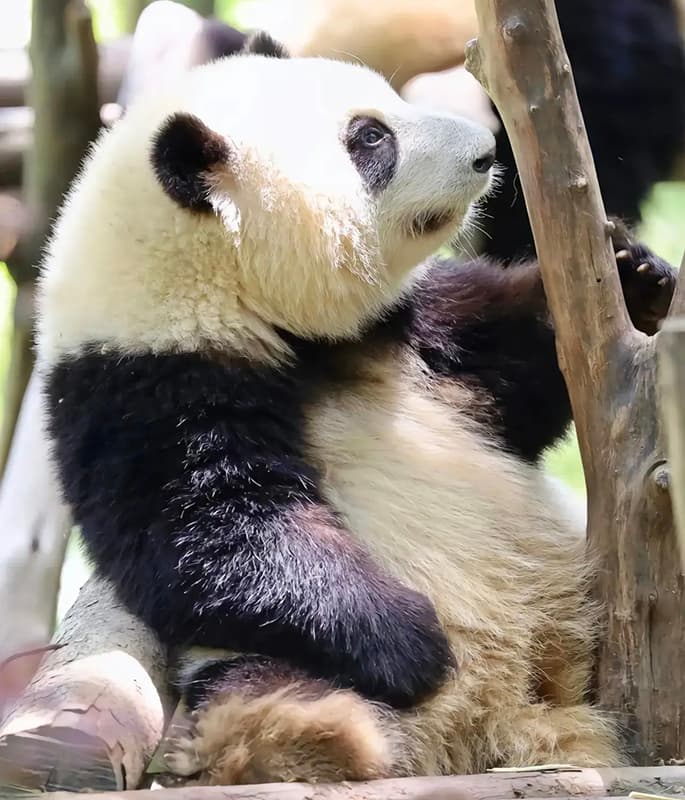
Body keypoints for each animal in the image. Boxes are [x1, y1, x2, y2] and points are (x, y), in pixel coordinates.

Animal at [35, 34, 677, 786]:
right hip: (263, 663)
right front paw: (414, 638)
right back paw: (311, 733)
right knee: (261, 688)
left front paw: (635, 274)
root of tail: (501, 723)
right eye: (370, 138)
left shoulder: (404, 334)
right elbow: (213, 537)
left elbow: (506, 369)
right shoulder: (139, 386)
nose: (485, 152)